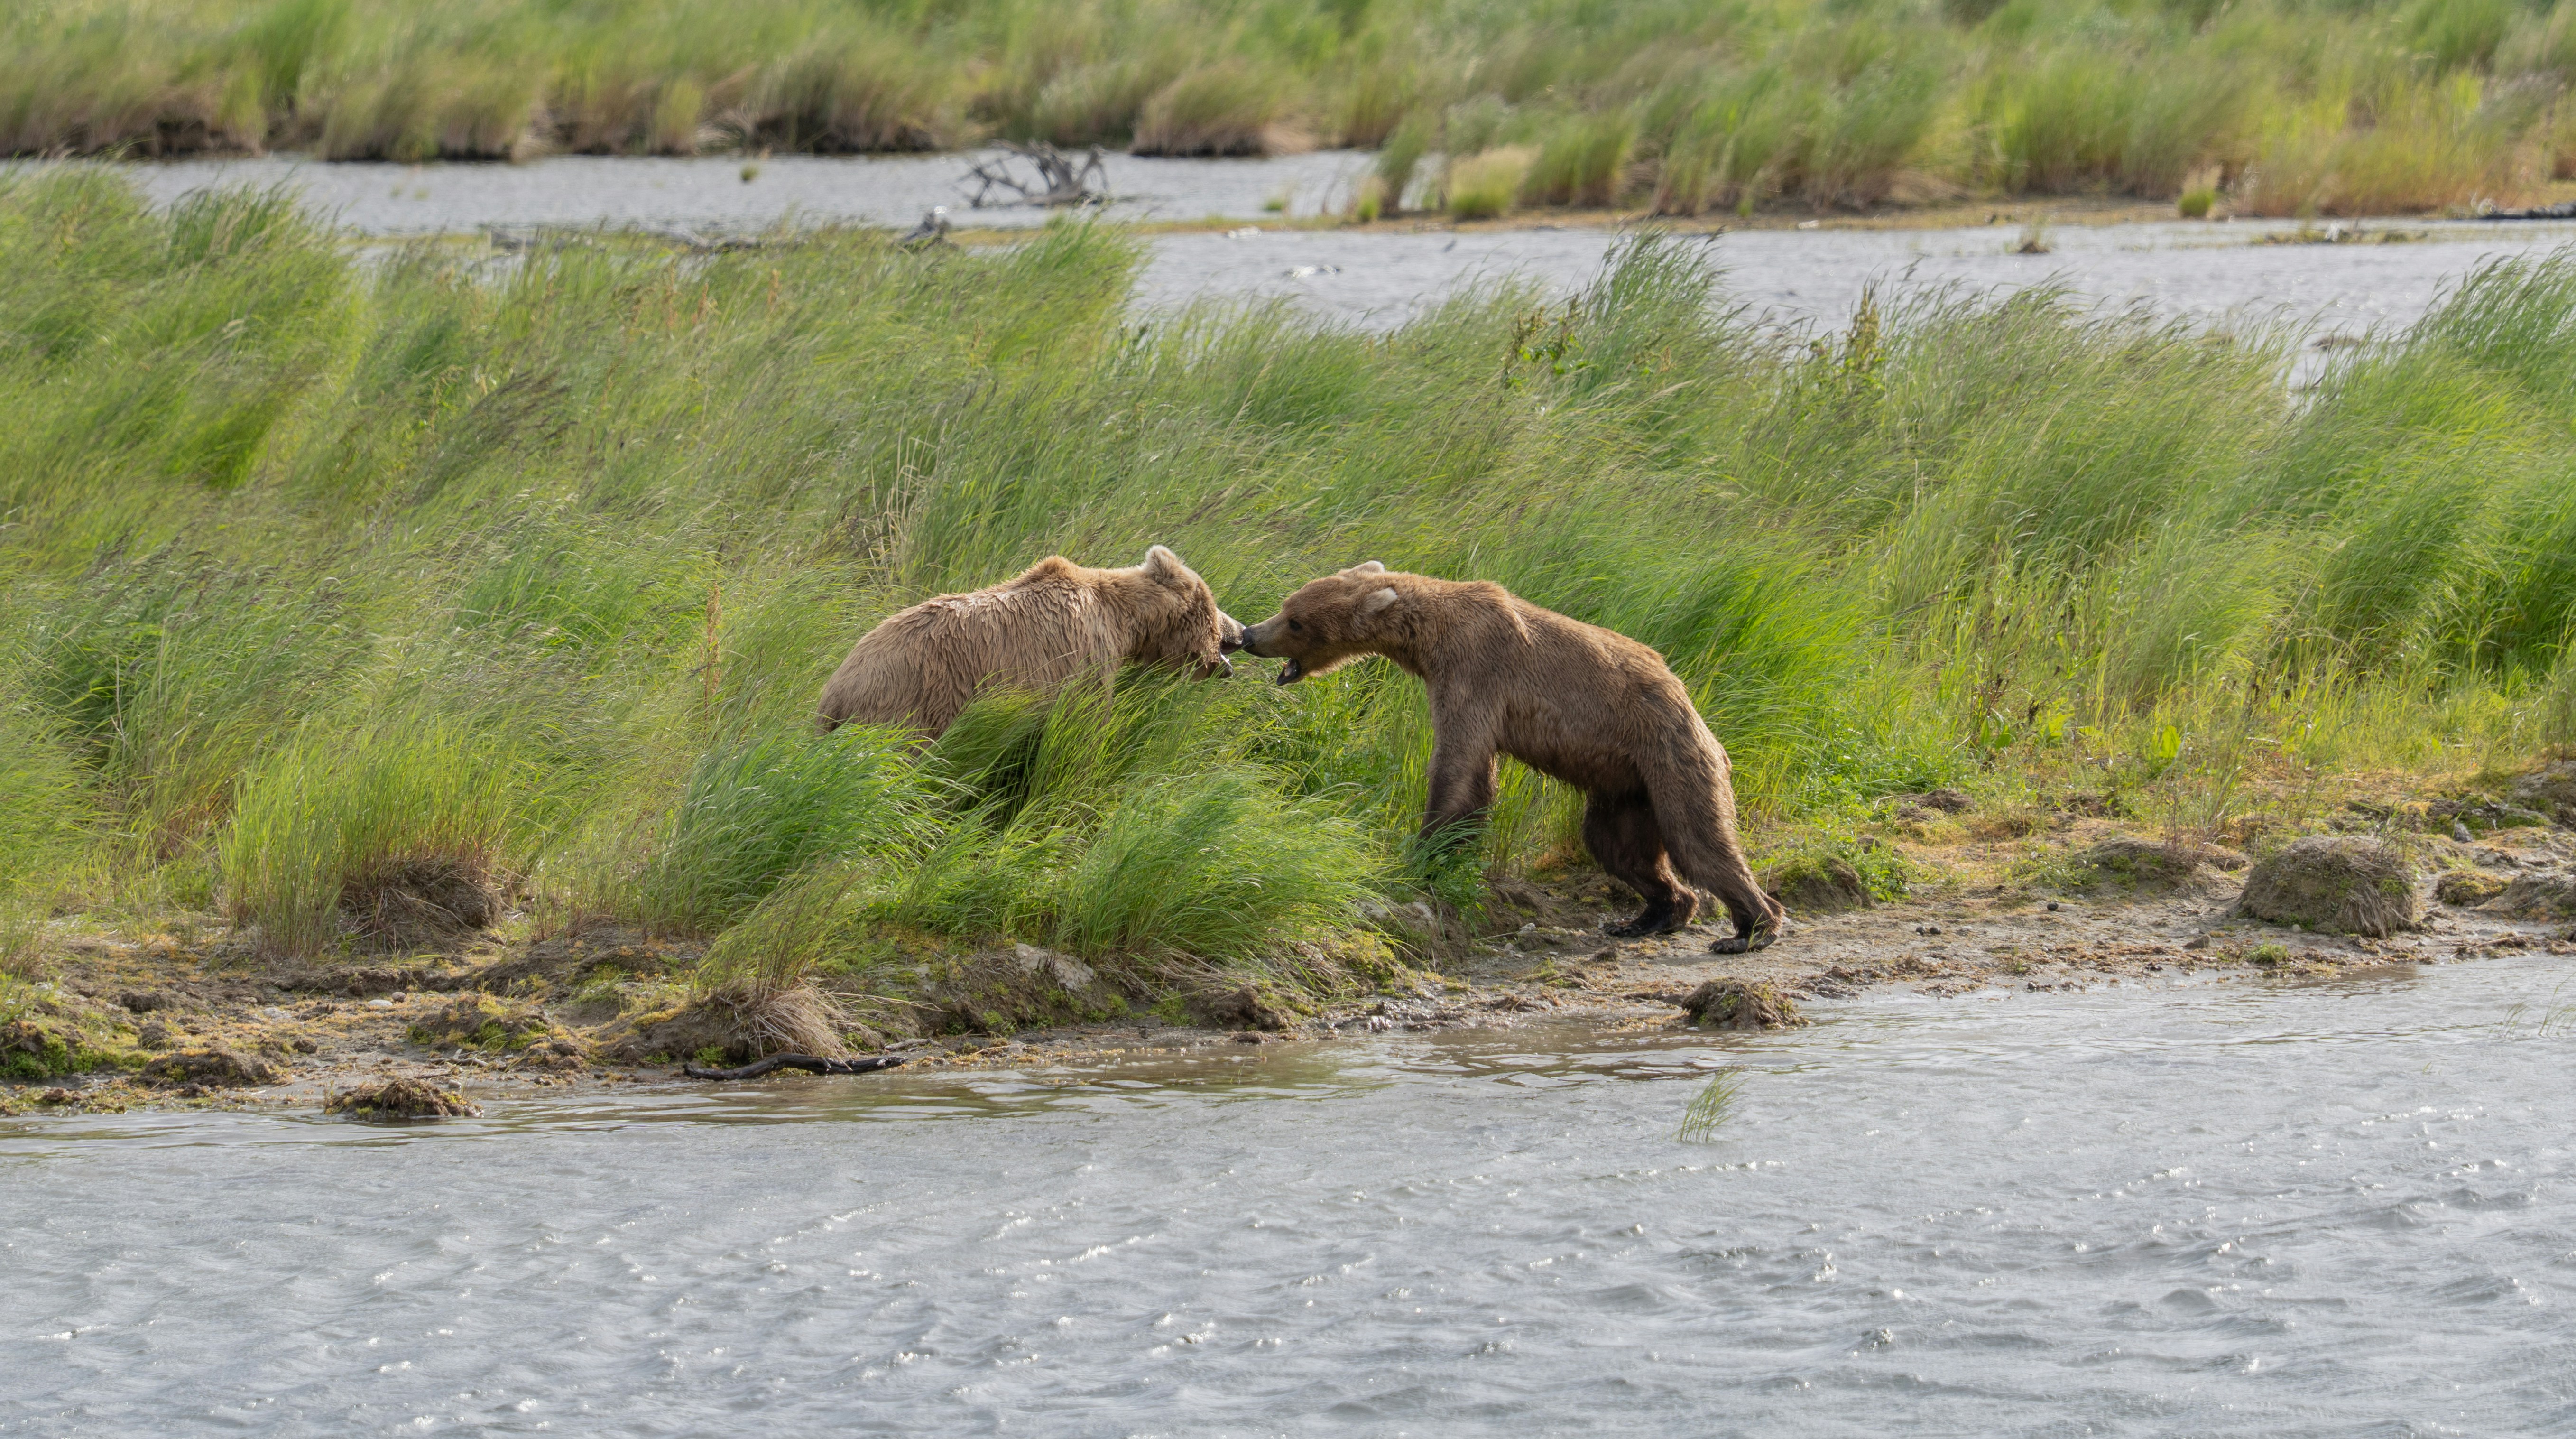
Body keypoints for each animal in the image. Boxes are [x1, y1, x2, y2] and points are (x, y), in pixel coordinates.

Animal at [816, 545, 1245, 738]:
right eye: (1212, 605)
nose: (1239, 632)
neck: (1125, 624)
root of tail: (834, 694)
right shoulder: (1082, 657)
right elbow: (1083, 728)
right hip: (912, 702)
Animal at [1236, 561, 1785, 952]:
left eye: (1296, 620)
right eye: (1288, 605)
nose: (1249, 635)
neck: (1427, 639)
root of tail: (1692, 709)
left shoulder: (1475, 672)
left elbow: (1459, 767)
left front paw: (1424, 850)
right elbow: (1473, 775)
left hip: (1669, 758)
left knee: (1698, 840)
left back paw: (1749, 930)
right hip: (1626, 787)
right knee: (1616, 846)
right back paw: (1649, 917)